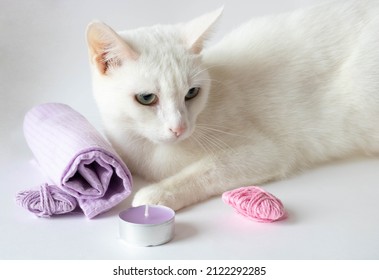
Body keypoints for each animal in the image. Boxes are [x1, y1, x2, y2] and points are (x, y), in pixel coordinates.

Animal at [86, 0, 379, 210]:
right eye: (147, 98)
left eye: (192, 93)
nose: (179, 128)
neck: (147, 150)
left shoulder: (264, 152)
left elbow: (206, 171)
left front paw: (157, 194)